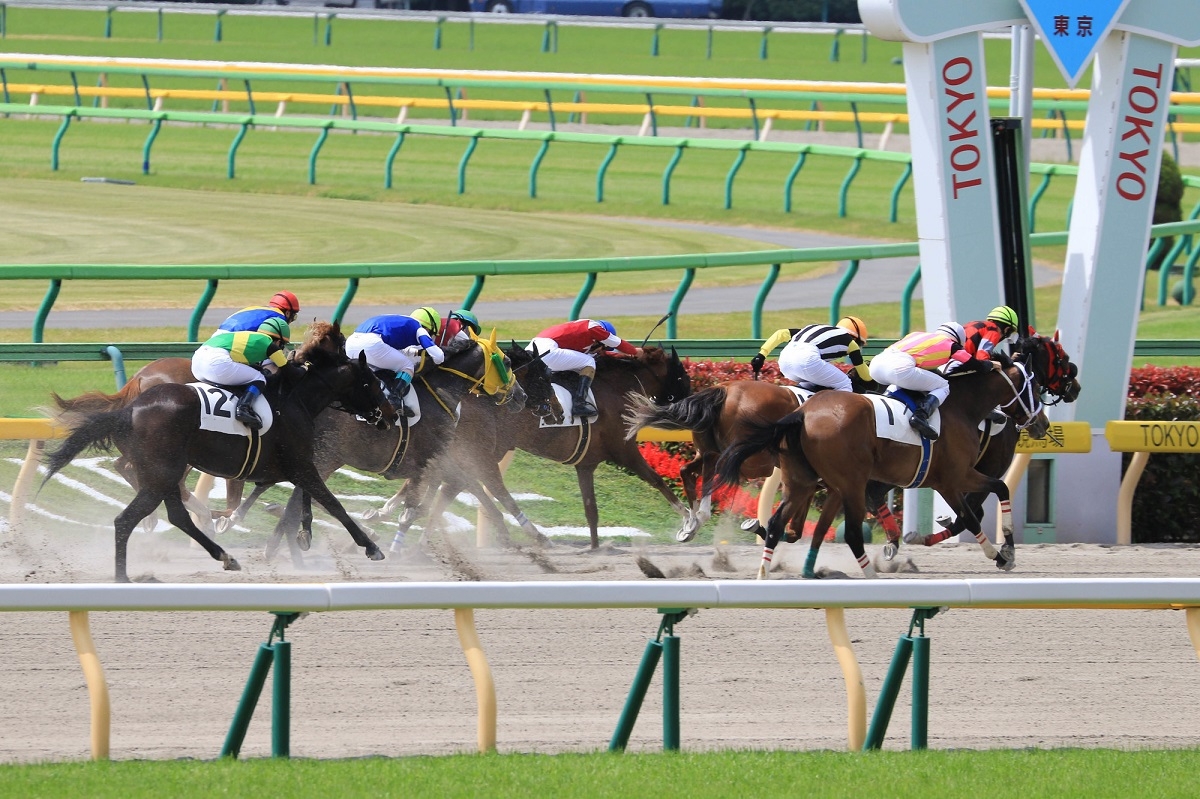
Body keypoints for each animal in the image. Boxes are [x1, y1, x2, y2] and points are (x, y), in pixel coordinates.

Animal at [42, 345, 396, 583]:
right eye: (370, 383)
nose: (390, 415)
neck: (295, 400)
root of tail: (128, 409)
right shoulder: (300, 465)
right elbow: (332, 503)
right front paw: (370, 547)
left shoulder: (295, 466)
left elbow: (305, 499)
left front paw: (304, 534)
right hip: (161, 474)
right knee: (125, 519)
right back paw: (123, 576)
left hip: (165, 474)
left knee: (177, 516)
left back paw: (224, 556)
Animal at [710, 359, 1051, 578]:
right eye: (1034, 387)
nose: (1043, 424)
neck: (960, 407)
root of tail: (802, 413)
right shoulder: (953, 479)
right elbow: (975, 511)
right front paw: (1001, 554)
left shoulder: (956, 478)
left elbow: (996, 490)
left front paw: (1007, 549)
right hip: (850, 483)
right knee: (850, 533)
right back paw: (871, 577)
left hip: (801, 481)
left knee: (778, 524)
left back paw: (764, 572)